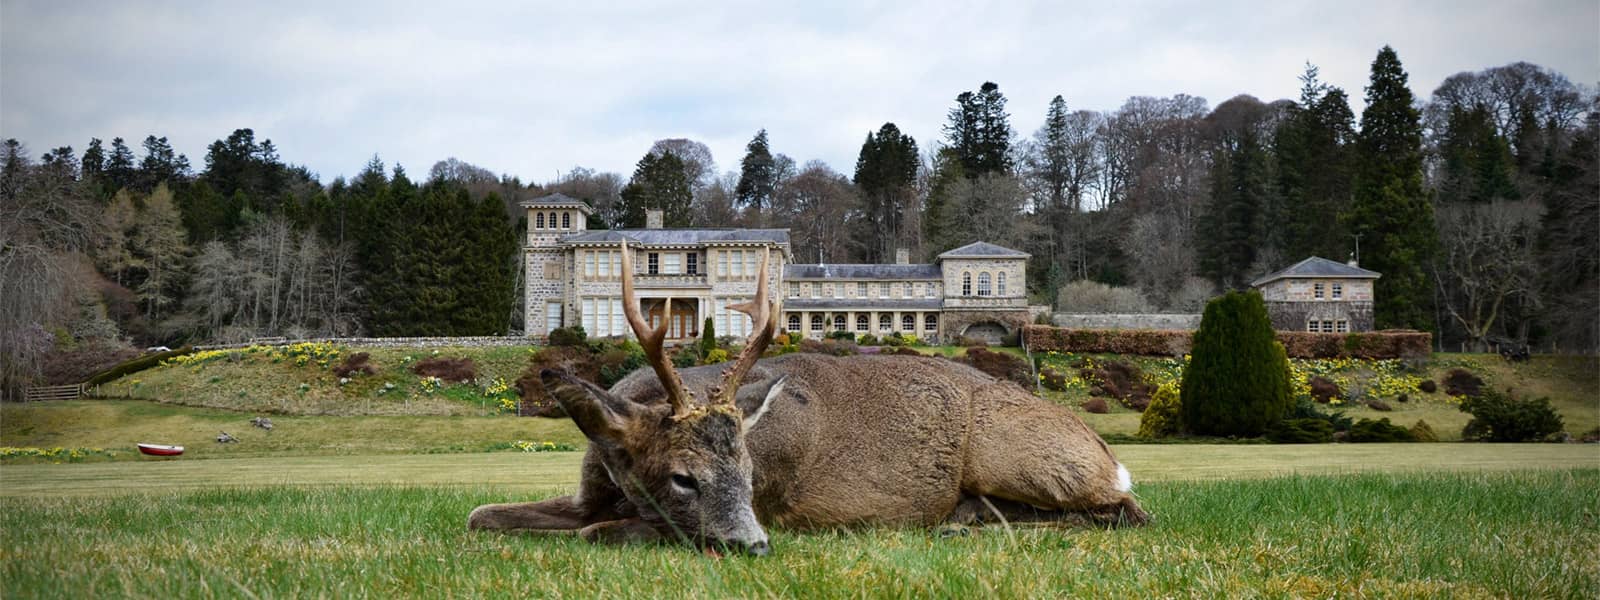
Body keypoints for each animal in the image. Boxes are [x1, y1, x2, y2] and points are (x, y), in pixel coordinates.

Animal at [467, 243, 1145, 553]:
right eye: (684, 476)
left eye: (749, 473)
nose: (754, 544)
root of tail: (1111, 453)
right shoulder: (592, 492)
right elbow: (482, 515)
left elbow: (597, 532)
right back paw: (969, 519)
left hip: (1014, 455)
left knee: (1128, 512)